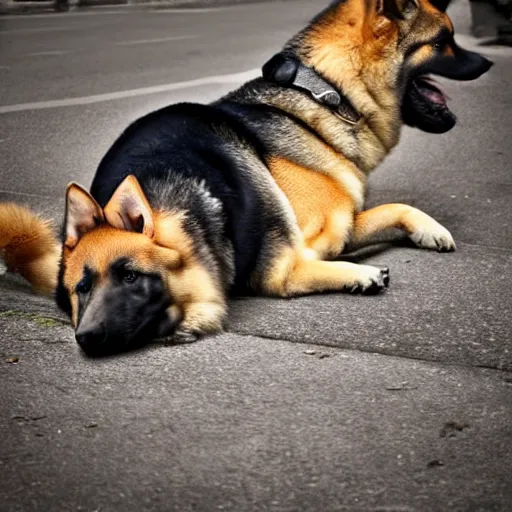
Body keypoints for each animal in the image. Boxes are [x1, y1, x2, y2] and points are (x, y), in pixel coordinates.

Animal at [0, 0, 492, 354]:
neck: (324, 92)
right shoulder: (316, 238)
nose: (488, 62)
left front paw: (430, 230)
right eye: (445, 41)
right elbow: (305, 263)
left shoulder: (340, 224)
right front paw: (360, 269)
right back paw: (357, 274)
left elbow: (397, 207)